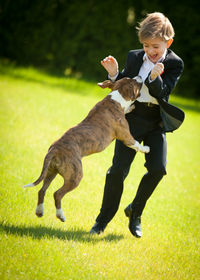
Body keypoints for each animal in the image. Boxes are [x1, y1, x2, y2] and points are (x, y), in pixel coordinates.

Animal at [23, 76, 148, 221]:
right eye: (135, 82)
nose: (140, 77)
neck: (116, 98)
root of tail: (54, 149)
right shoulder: (125, 135)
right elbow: (136, 144)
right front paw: (146, 148)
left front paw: (130, 107)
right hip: (75, 176)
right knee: (57, 194)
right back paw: (60, 215)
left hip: (50, 172)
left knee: (41, 190)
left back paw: (39, 211)